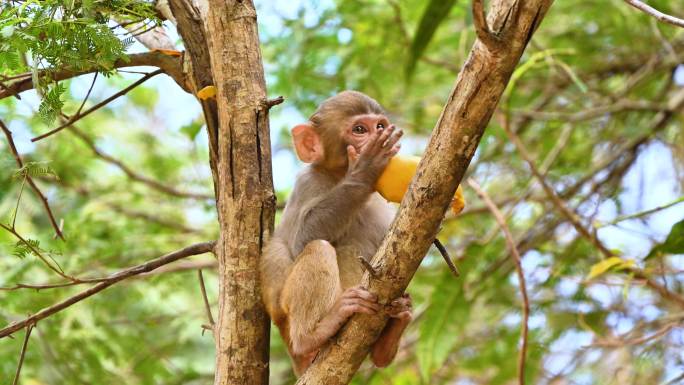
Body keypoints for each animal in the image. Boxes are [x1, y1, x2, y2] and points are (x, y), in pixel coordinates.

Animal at [262, 91, 412, 376]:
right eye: (359, 130)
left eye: (379, 125)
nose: (381, 134)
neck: (337, 175)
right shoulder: (308, 183)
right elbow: (302, 240)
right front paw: (364, 171)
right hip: (286, 313)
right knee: (318, 248)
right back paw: (311, 337)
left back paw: (388, 339)